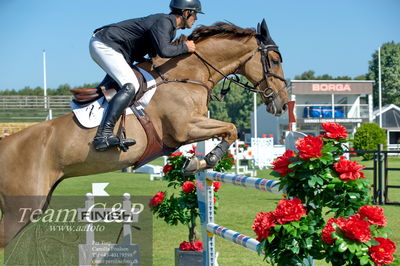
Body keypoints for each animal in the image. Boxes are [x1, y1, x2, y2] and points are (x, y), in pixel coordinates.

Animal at [0, 19, 288, 247]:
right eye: (274, 61)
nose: (283, 104)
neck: (187, 75)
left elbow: (229, 130)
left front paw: (198, 161)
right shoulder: (185, 128)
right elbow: (231, 128)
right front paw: (206, 159)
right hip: (20, 209)